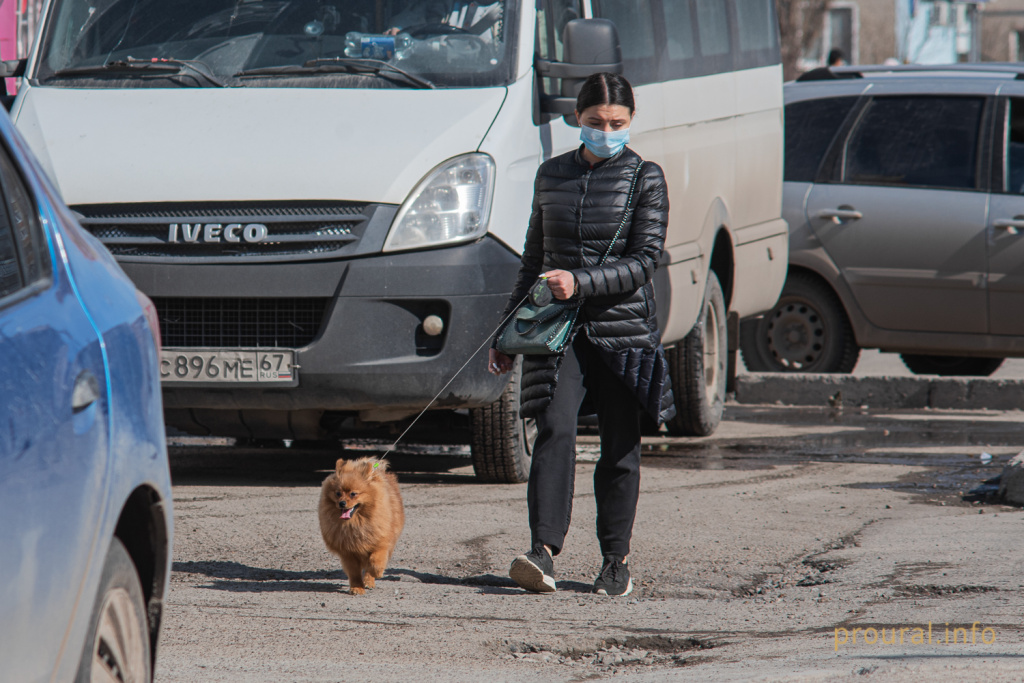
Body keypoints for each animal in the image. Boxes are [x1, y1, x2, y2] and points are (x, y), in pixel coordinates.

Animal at [317, 456, 405, 593]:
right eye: (338, 493)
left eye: (353, 494)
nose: (341, 503)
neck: (356, 523)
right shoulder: (348, 552)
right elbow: (354, 573)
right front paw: (357, 587)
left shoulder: (380, 542)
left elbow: (376, 561)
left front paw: (377, 573)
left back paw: (369, 581)